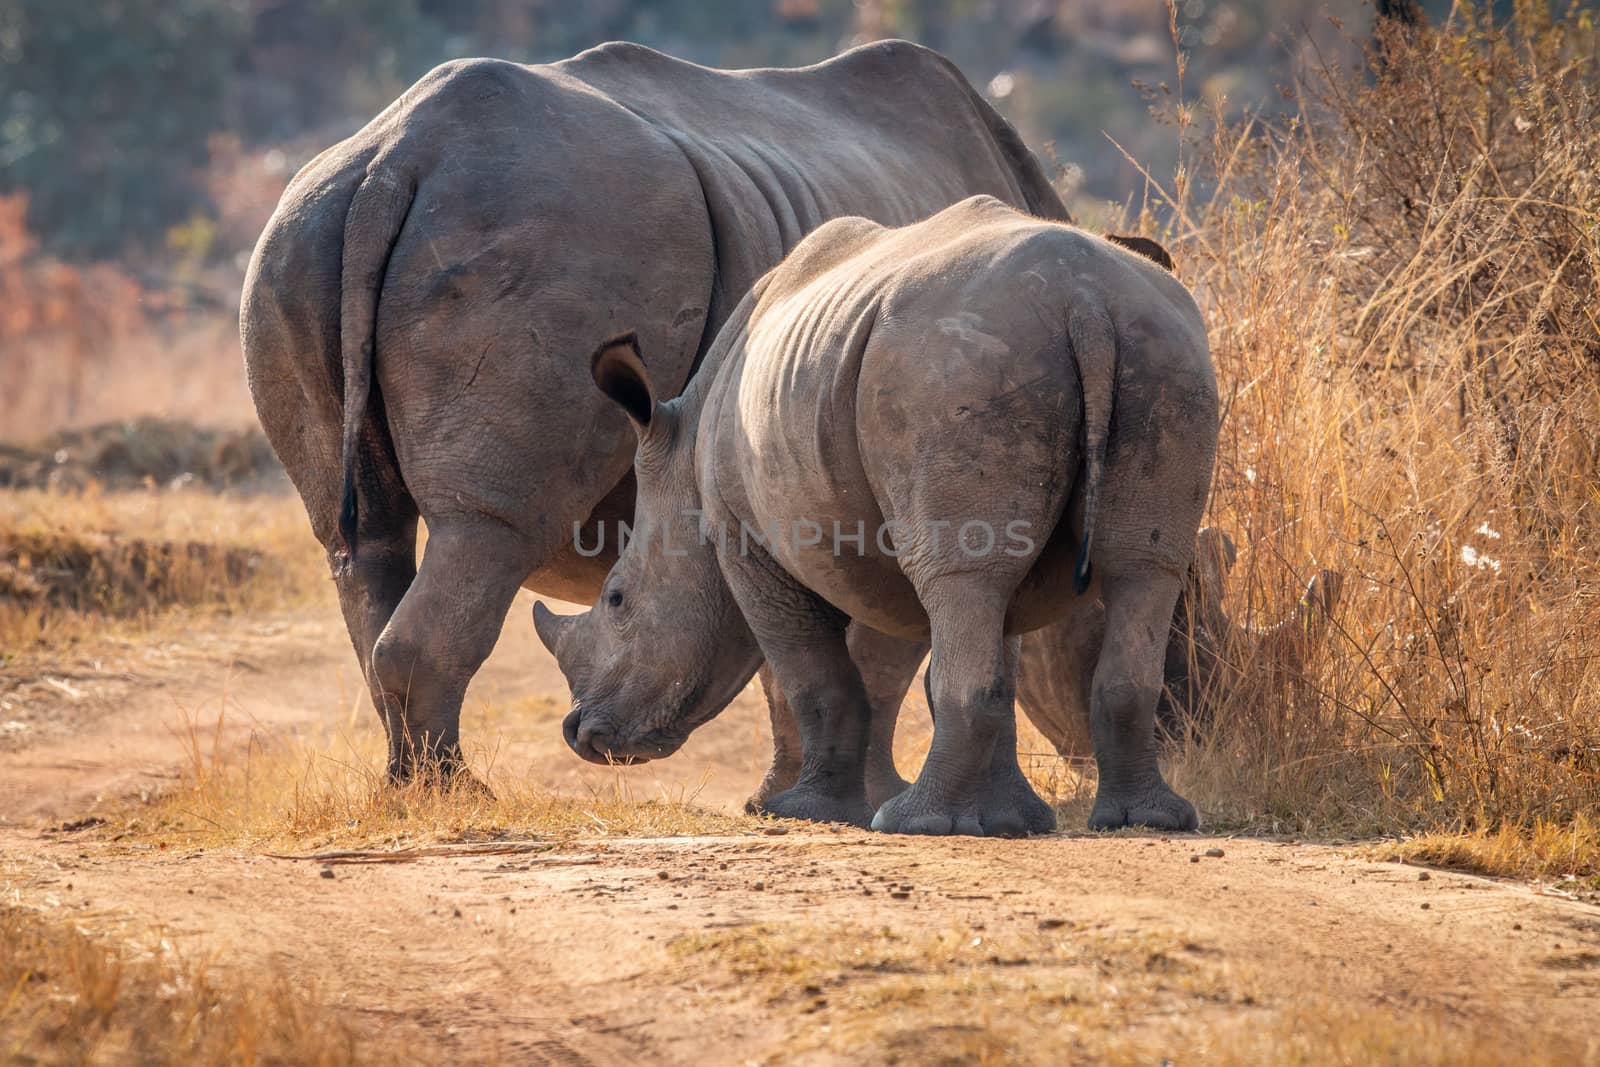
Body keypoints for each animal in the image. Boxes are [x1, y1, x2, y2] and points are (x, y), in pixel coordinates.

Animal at [243, 41, 1068, 777]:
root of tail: (394, 163)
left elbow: (790, 648)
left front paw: (790, 791)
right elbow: (879, 650)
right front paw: (858, 792)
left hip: (302, 237)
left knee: (362, 540)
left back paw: (410, 788)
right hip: (556, 240)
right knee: (488, 527)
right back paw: (456, 793)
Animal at [531, 198, 1216, 831]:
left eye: (617, 599)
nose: (583, 735)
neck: (683, 460)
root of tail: (1085, 301)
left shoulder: (746, 541)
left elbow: (819, 678)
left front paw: (806, 812)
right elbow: (964, 651)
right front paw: (1010, 822)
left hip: (948, 366)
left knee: (964, 578)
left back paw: (914, 822)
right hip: (1160, 351)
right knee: (1140, 569)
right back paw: (1145, 821)